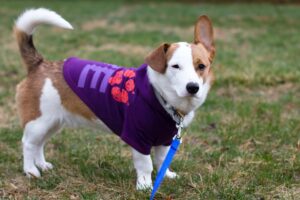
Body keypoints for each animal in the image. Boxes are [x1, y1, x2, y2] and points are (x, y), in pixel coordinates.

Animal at [14, 8, 216, 189]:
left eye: (201, 66)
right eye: (175, 66)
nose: (193, 87)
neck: (160, 96)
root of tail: (40, 64)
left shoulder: (165, 141)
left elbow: (161, 160)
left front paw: (165, 175)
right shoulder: (138, 138)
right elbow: (146, 165)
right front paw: (145, 186)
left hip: (53, 123)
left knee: (39, 144)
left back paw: (42, 165)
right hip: (38, 122)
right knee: (28, 144)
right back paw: (31, 170)